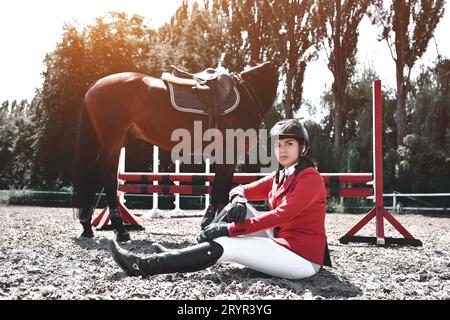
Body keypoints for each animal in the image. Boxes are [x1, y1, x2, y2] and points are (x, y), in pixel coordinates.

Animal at [72, 61, 280, 241]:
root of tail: (95, 86)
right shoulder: (229, 155)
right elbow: (219, 192)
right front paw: (209, 224)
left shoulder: (228, 158)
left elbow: (224, 192)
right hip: (113, 143)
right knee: (109, 179)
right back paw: (121, 231)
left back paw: (87, 227)